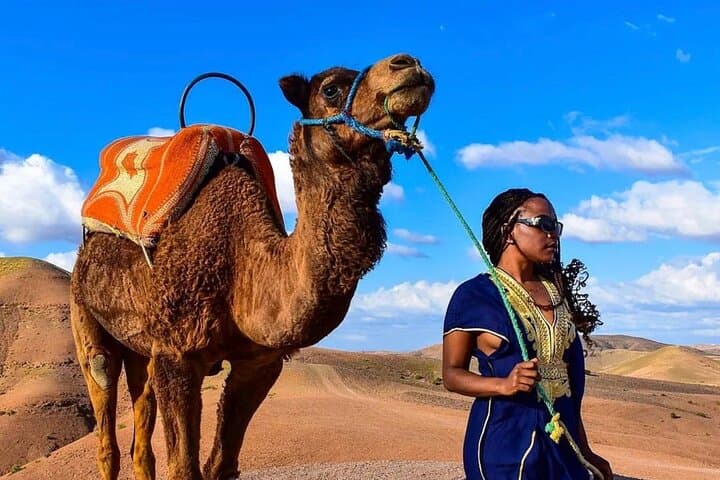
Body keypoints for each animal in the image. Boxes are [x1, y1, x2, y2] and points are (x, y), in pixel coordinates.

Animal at [70, 53, 435, 480]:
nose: (409, 64)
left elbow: (222, 463)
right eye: (330, 89)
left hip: (138, 344)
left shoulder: (260, 362)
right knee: (102, 399)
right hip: (84, 311)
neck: (243, 264)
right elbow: (185, 467)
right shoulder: (176, 354)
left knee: (141, 427)